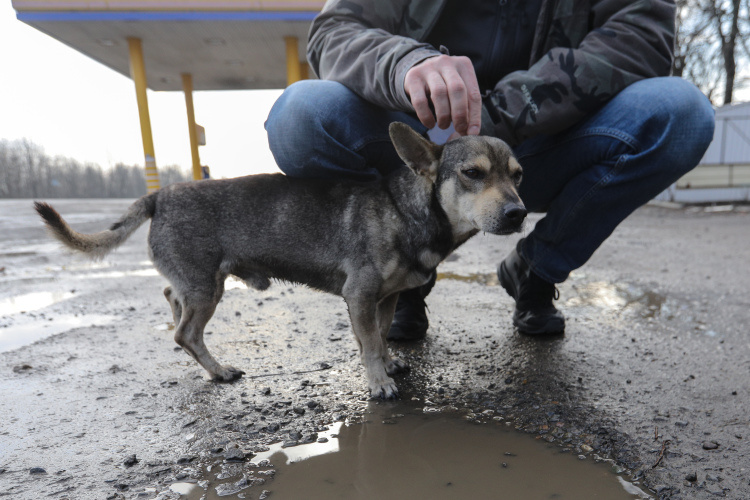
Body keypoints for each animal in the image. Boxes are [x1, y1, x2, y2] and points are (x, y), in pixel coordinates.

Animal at [36, 123, 528, 400]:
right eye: (472, 174)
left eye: (518, 175)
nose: (519, 213)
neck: (404, 210)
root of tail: (160, 195)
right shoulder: (360, 294)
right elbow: (369, 343)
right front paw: (379, 383)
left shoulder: (385, 299)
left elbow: (382, 334)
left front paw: (388, 363)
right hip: (208, 289)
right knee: (184, 333)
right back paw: (219, 370)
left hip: (200, 283)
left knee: (170, 294)